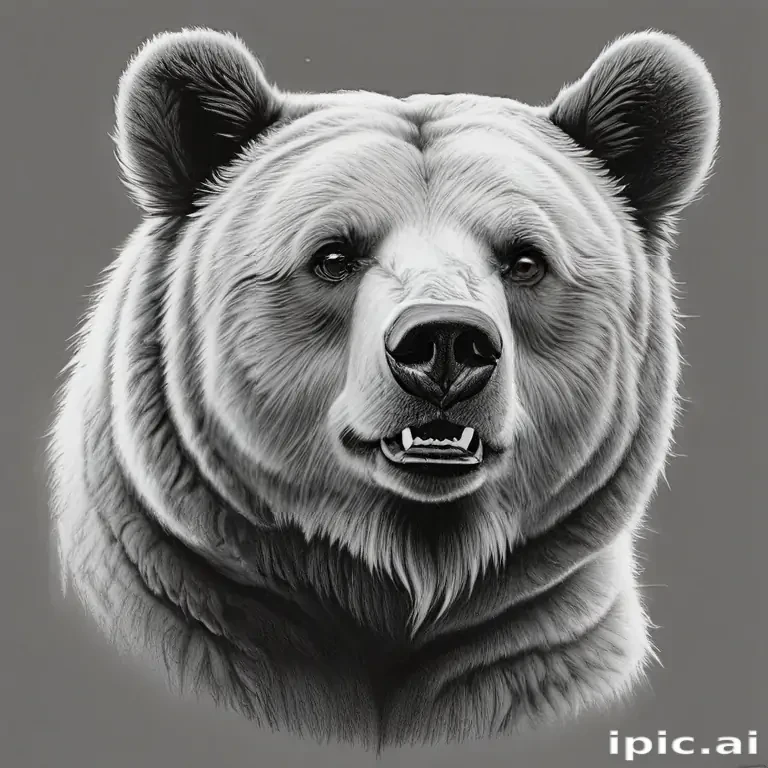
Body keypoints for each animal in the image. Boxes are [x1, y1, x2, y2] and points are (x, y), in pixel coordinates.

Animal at [48, 27, 719, 748]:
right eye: (333, 255)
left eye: (525, 259)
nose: (446, 342)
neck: (400, 572)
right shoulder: (195, 615)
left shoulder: (535, 651)